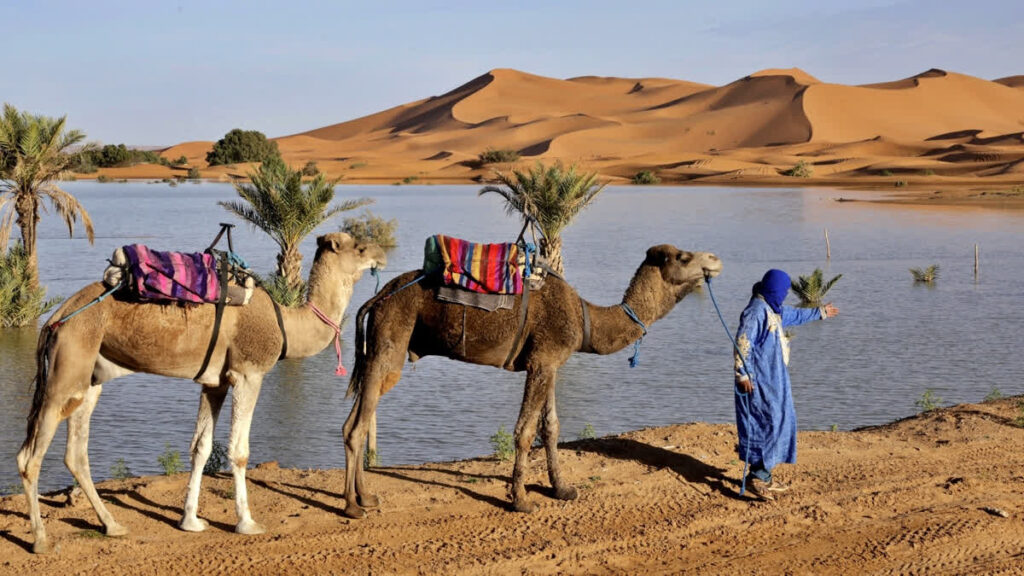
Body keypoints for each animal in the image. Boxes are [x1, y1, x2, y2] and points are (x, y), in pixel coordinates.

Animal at [16, 230, 385, 549]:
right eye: (359, 248)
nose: (382, 253)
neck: (286, 325)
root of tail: (56, 317)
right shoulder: (248, 373)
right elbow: (239, 451)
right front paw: (247, 523)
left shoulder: (215, 382)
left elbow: (201, 447)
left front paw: (190, 521)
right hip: (67, 368)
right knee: (29, 457)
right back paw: (41, 540)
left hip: (90, 375)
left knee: (75, 452)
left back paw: (113, 525)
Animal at [344, 241, 720, 516]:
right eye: (683, 257)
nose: (715, 259)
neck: (586, 319)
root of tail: (377, 297)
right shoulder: (541, 361)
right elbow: (524, 432)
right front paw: (521, 499)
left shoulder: (549, 363)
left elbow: (550, 426)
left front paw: (562, 489)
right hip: (389, 344)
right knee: (358, 427)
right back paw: (351, 506)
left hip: (379, 351)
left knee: (353, 422)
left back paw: (366, 498)